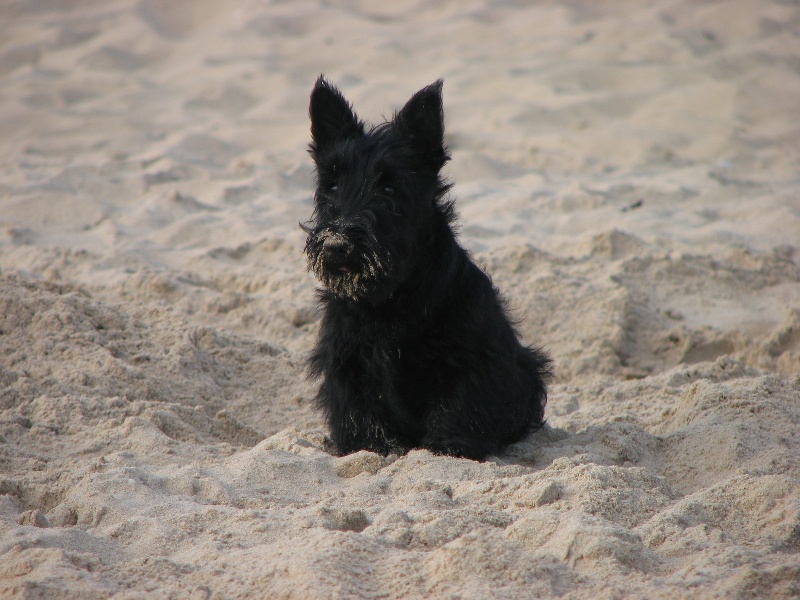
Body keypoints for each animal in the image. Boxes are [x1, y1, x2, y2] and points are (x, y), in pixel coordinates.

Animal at [302, 76, 551, 460]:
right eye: (331, 185)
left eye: (389, 187)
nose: (336, 246)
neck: (390, 298)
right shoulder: (348, 364)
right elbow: (361, 416)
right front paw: (371, 448)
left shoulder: (469, 361)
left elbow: (459, 408)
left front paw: (448, 448)